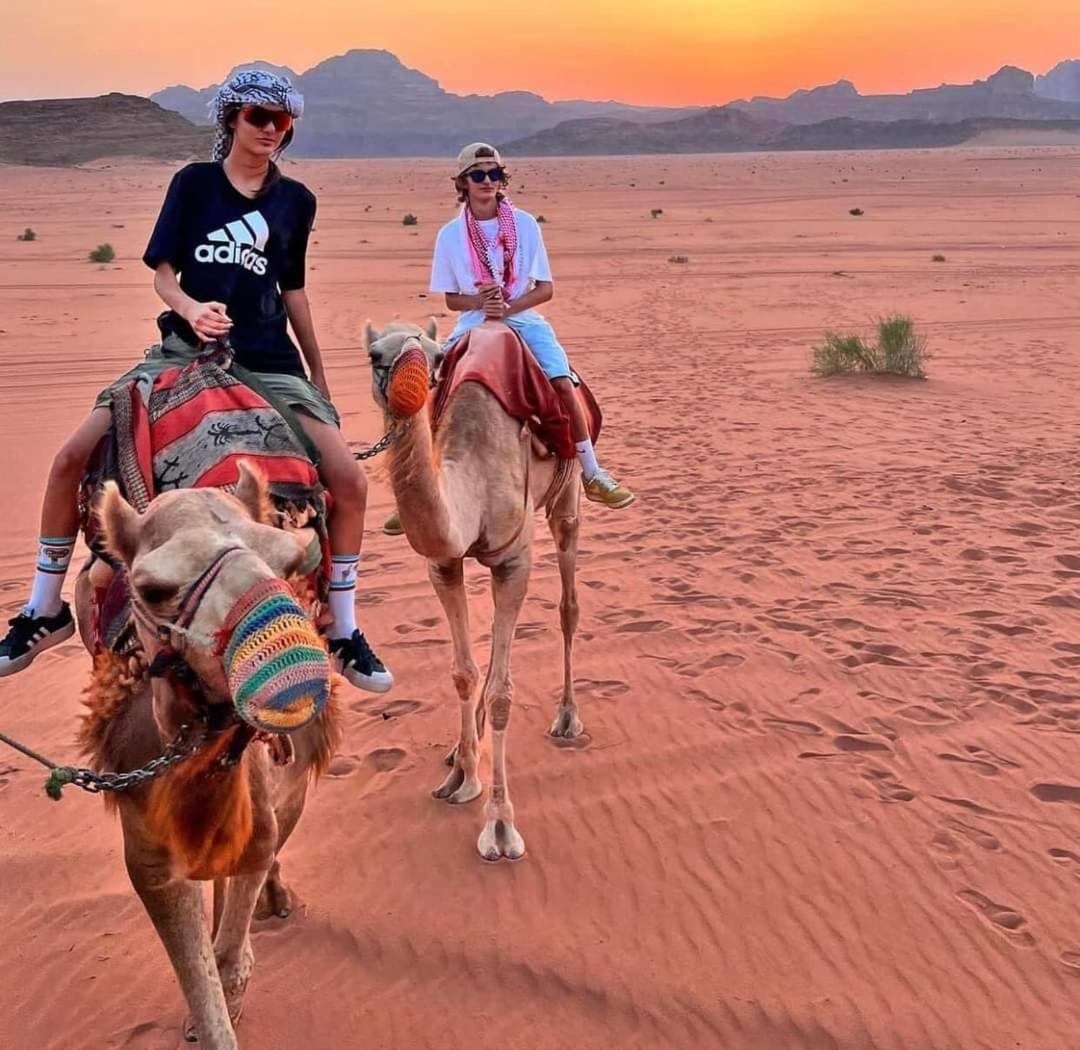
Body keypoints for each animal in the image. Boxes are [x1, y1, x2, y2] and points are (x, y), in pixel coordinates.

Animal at [72, 466, 336, 1050]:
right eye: (153, 590)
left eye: (291, 561)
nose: (293, 662)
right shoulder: (148, 856)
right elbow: (200, 977)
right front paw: (204, 1019)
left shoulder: (258, 822)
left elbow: (228, 959)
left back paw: (275, 900)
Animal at [362, 321, 583, 859]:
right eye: (375, 354)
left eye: (438, 357)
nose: (409, 387)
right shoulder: (443, 564)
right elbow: (463, 672)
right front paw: (462, 776)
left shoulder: (513, 562)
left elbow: (503, 691)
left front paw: (500, 826)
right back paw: (460, 751)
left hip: (567, 495)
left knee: (568, 605)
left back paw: (567, 718)